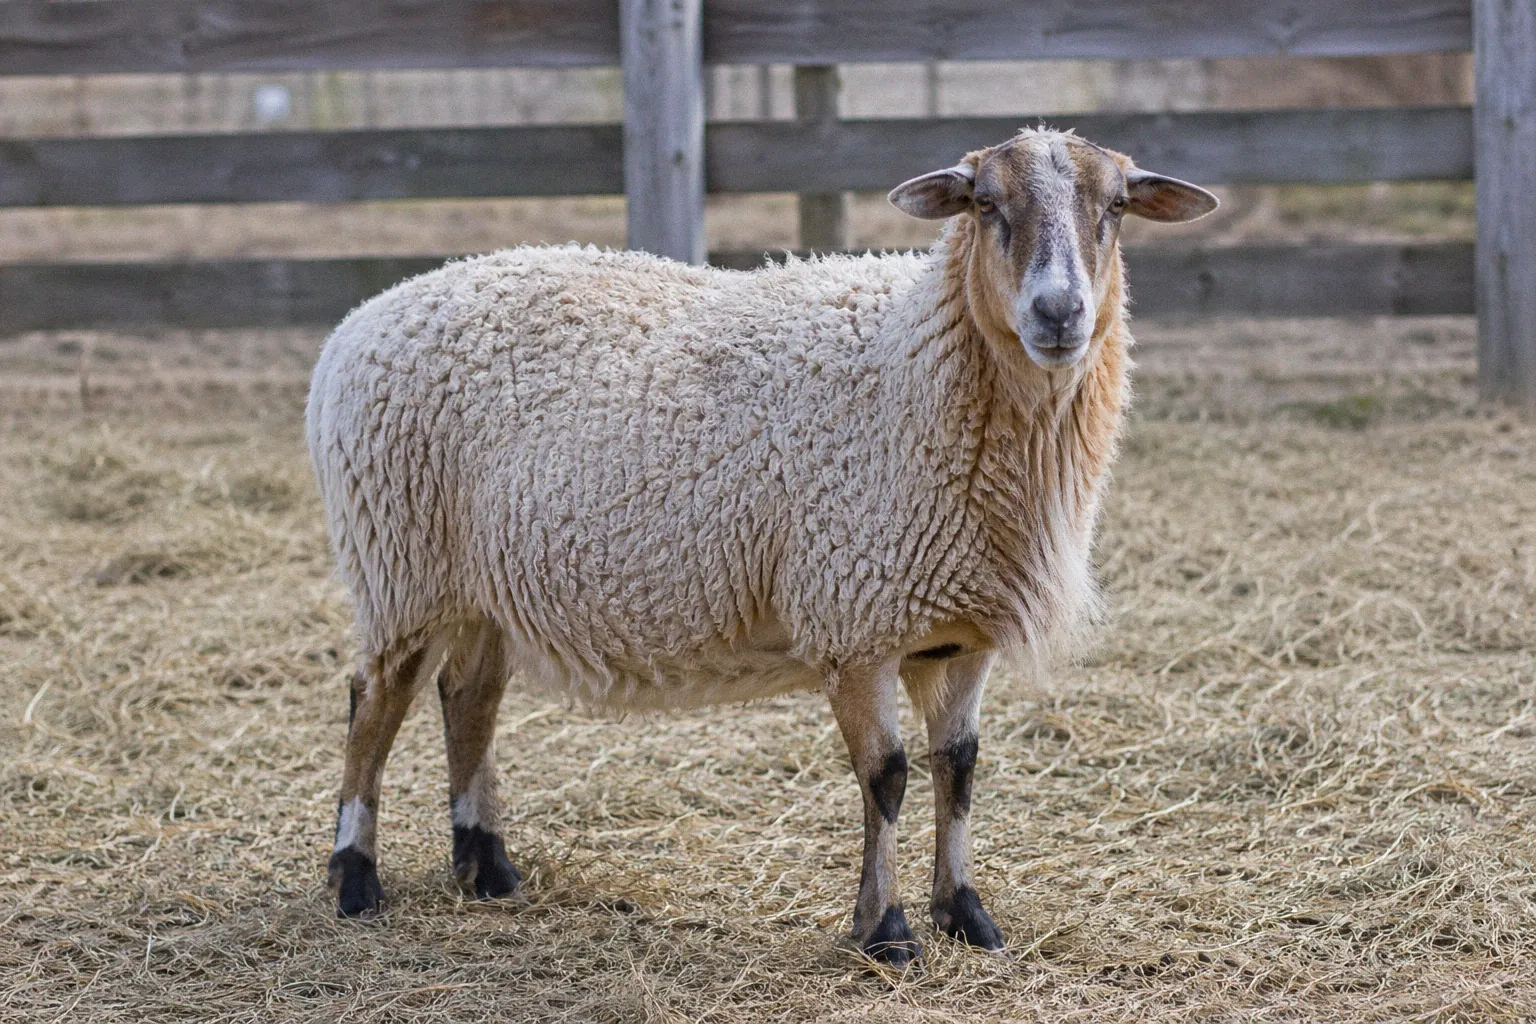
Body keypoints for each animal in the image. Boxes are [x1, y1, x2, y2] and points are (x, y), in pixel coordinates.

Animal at [305, 127, 1217, 965]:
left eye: (1115, 208)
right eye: (986, 205)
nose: (1059, 314)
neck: (913, 363)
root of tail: (362, 320)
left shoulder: (958, 630)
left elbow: (958, 767)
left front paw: (967, 916)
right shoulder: (856, 619)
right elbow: (888, 776)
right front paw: (886, 932)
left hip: (479, 585)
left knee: (469, 698)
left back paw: (488, 867)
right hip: (397, 560)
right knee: (373, 704)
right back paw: (354, 879)